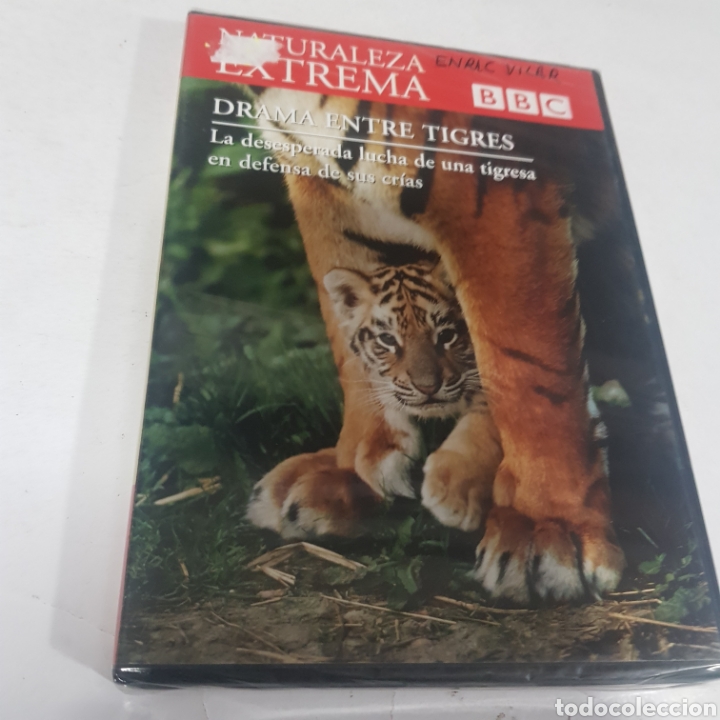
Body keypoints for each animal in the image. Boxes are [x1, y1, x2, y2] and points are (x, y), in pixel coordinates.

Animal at [243, 86, 625, 603]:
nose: (425, 385)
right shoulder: (315, 171)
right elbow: (345, 328)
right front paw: (354, 468)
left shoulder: (486, 183)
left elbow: (527, 370)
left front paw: (547, 530)